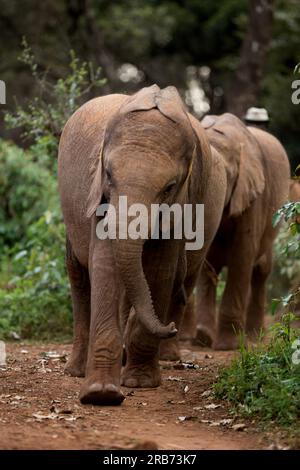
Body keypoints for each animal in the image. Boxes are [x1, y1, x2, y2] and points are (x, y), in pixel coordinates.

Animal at [58, 83, 227, 404]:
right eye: (108, 174)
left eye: (169, 187)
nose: (172, 328)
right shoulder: (98, 197)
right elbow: (104, 266)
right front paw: (101, 394)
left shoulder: (183, 203)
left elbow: (160, 271)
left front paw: (140, 383)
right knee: (80, 278)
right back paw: (76, 372)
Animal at [162, 114, 290, 356]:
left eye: (228, 176)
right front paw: (203, 338)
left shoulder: (252, 195)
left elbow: (242, 255)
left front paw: (229, 346)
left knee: (261, 271)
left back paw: (254, 337)